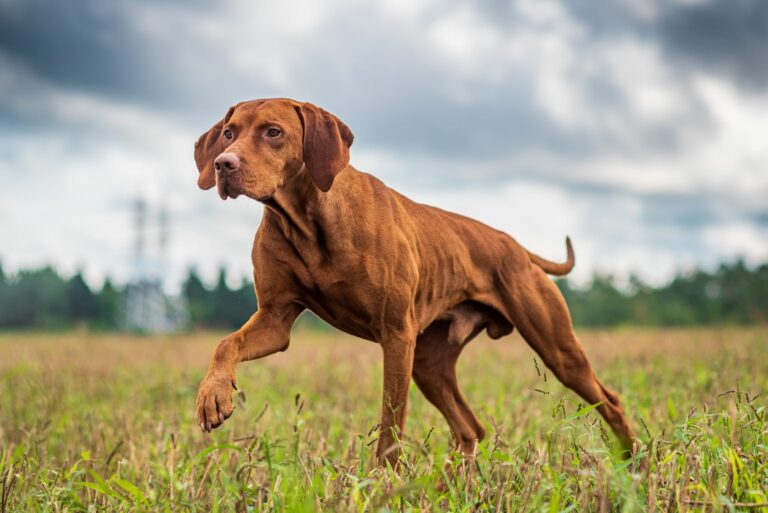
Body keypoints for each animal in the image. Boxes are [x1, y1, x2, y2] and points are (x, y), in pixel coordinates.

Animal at [192, 98, 636, 462]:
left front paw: (381, 484)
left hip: (557, 348)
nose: (223, 165)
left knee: (610, 401)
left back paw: (632, 464)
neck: (307, 218)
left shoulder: (396, 334)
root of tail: (515, 246)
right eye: (229, 133)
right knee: (470, 428)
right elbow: (225, 343)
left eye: (274, 132)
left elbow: (391, 424)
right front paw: (213, 395)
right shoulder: (275, 318)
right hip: (429, 365)